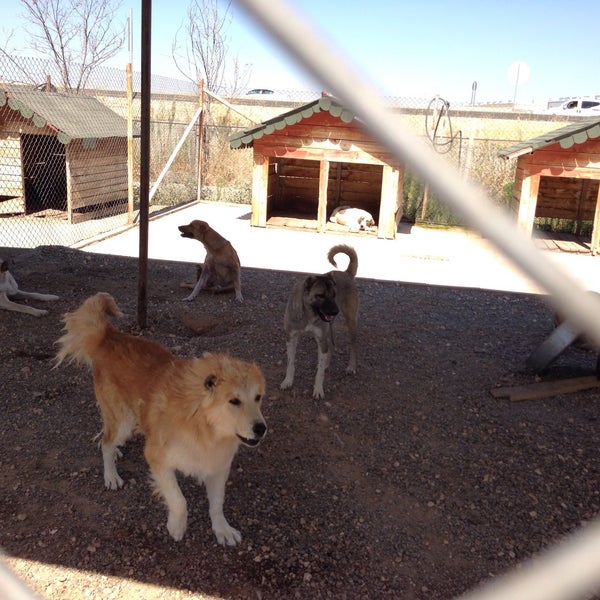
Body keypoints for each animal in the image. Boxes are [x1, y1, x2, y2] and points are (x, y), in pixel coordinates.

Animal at [55, 292, 266, 548]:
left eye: (258, 397)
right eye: (234, 401)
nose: (261, 429)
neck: (203, 425)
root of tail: (111, 336)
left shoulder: (218, 466)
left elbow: (217, 503)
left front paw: (222, 529)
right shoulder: (157, 458)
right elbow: (179, 500)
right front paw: (176, 526)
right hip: (123, 419)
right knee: (105, 442)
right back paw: (111, 474)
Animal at [280, 244, 358, 398]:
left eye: (334, 295)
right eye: (320, 296)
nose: (335, 311)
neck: (309, 314)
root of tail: (346, 273)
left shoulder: (320, 339)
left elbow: (320, 372)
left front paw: (318, 389)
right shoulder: (291, 338)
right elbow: (290, 363)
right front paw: (288, 381)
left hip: (350, 321)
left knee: (353, 344)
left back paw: (351, 366)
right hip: (329, 327)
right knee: (331, 345)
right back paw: (328, 364)